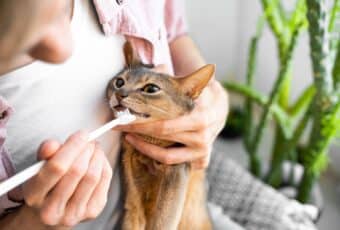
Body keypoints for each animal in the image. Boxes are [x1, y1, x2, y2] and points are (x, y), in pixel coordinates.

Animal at [107, 41, 215, 230]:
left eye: (151, 88)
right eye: (119, 82)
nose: (120, 94)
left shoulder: (177, 170)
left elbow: (163, 221)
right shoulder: (130, 167)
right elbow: (133, 215)